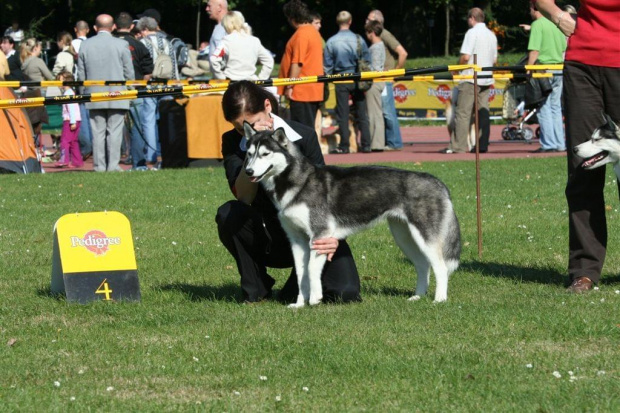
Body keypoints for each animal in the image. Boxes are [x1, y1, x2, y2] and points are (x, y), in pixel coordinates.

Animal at [242, 122, 460, 306]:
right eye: (249, 154)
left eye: (265, 154)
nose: (248, 171)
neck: (299, 181)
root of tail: (438, 182)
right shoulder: (297, 240)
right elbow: (301, 274)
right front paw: (299, 304)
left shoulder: (320, 236)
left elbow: (311, 270)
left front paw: (315, 299)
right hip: (404, 237)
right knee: (423, 265)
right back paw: (417, 296)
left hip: (425, 237)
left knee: (440, 267)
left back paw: (439, 299)